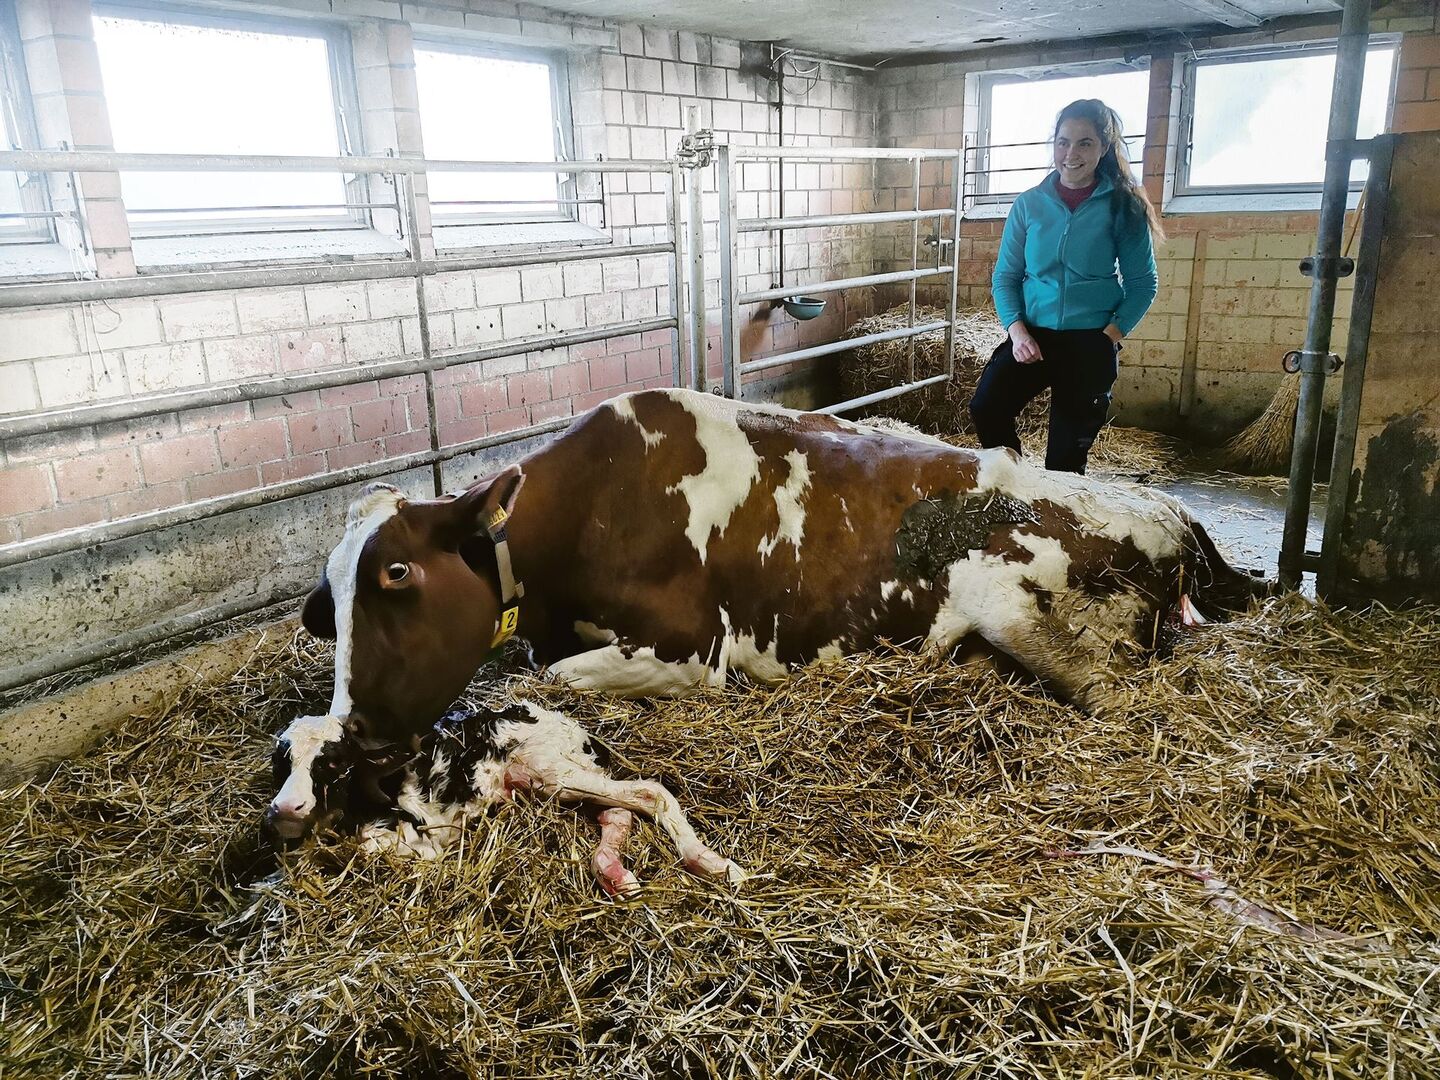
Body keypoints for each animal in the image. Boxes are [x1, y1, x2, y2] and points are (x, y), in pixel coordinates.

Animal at [263, 700, 744, 895]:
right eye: (280, 762)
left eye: (334, 761)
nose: (287, 808)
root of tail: (572, 727)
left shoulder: (423, 835)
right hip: (552, 782)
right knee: (618, 813)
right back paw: (616, 875)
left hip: (552, 769)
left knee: (650, 792)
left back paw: (713, 863)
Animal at [300, 387, 1264, 748]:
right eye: (328, 604)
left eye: (395, 577)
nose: (350, 725)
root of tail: (1171, 510)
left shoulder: (692, 649)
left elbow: (558, 677)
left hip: (1027, 613)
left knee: (1111, 694)